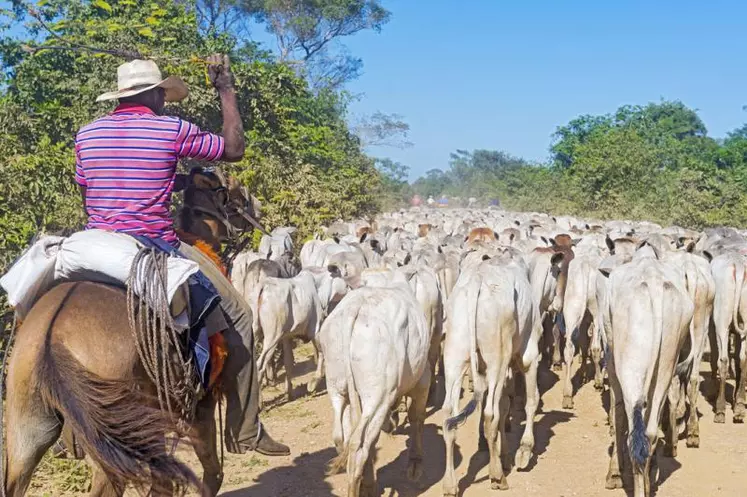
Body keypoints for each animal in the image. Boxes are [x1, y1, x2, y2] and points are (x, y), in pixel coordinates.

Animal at [2, 168, 258, 496]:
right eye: (230, 188)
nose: (254, 208)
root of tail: (51, 338)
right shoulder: (199, 407)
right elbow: (211, 473)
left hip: (28, 429)